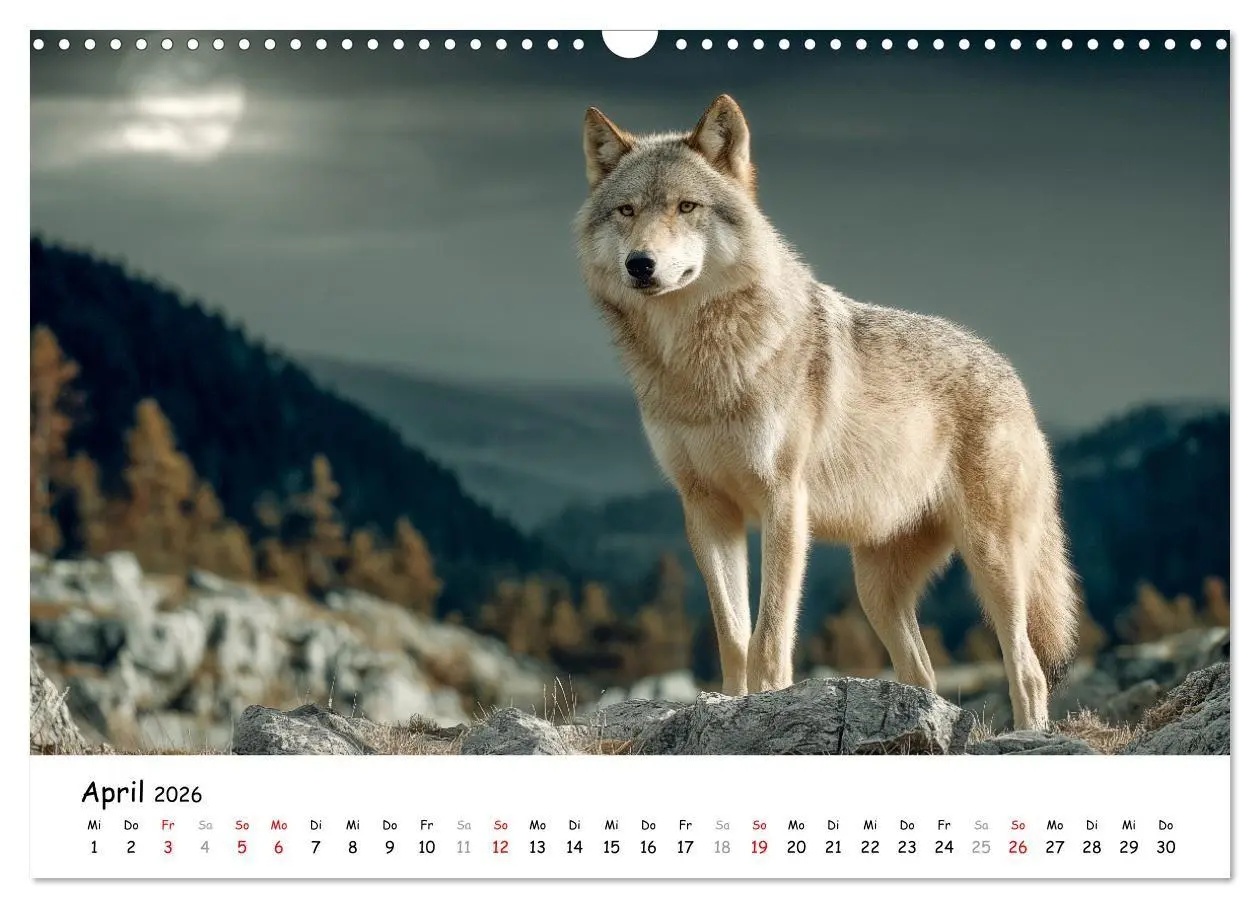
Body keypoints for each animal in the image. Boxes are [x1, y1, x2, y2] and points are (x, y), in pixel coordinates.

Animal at [574, 95, 1080, 730]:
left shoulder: (784, 503)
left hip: (994, 566)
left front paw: (766, 701)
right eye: (626, 210)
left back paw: (1027, 733)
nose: (640, 264)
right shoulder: (706, 509)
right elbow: (732, 633)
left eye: (686, 207)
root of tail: (1012, 376)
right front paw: (729, 703)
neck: (700, 370)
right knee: (923, 674)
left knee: (1029, 669)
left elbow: (769, 635)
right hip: (875, 589)